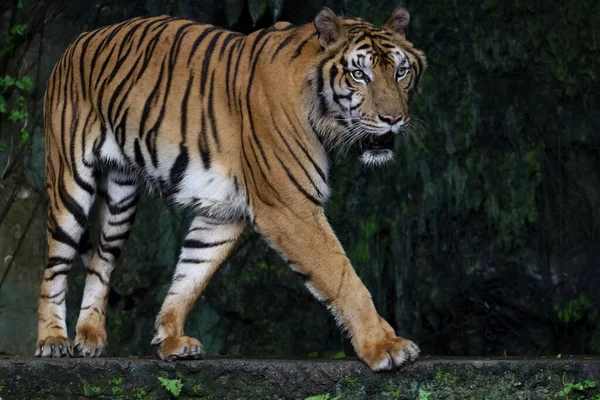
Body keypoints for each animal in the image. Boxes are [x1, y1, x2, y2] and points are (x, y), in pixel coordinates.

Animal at [36, 4, 426, 370]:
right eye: (360, 74)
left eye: (401, 72)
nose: (393, 119)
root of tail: (80, 39)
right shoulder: (289, 208)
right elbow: (343, 277)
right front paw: (384, 346)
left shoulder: (223, 213)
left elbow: (190, 275)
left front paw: (169, 339)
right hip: (70, 183)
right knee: (54, 267)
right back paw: (52, 340)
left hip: (121, 199)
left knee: (100, 261)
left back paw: (90, 336)